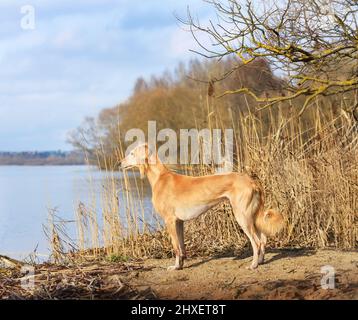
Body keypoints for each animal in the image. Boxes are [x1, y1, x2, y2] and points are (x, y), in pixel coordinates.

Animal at [121, 142, 284, 270]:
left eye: (132, 153)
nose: (120, 163)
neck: (160, 178)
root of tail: (252, 181)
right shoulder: (179, 222)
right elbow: (182, 247)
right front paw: (180, 265)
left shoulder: (170, 220)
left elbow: (175, 247)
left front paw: (175, 267)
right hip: (252, 217)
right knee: (263, 239)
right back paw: (261, 261)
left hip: (242, 217)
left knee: (256, 242)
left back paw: (253, 264)